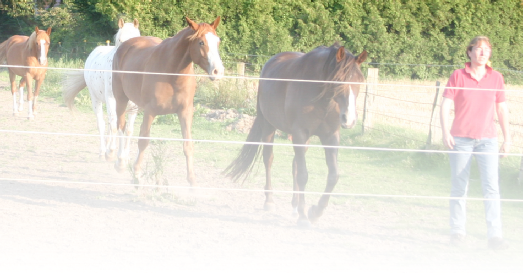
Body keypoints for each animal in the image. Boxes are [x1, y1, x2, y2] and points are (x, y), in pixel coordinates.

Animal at [112, 16, 223, 188]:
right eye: (201, 42)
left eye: (217, 41)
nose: (218, 71)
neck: (172, 73)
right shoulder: (150, 111)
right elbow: (143, 141)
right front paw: (136, 175)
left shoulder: (185, 111)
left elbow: (188, 145)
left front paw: (192, 181)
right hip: (121, 99)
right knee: (121, 127)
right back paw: (120, 163)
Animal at [225, 43, 368, 229]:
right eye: (338, 80)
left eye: (360, 80)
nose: (349, 119)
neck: (321, 98)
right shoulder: (299, 133)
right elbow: (303, 175)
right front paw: (304, 216)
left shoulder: (330, 136)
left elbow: (333, 176)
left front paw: (315, 211)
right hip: (269, 127)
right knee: (268, 159)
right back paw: (270, 201)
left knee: (295, 165)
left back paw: (295, 206)